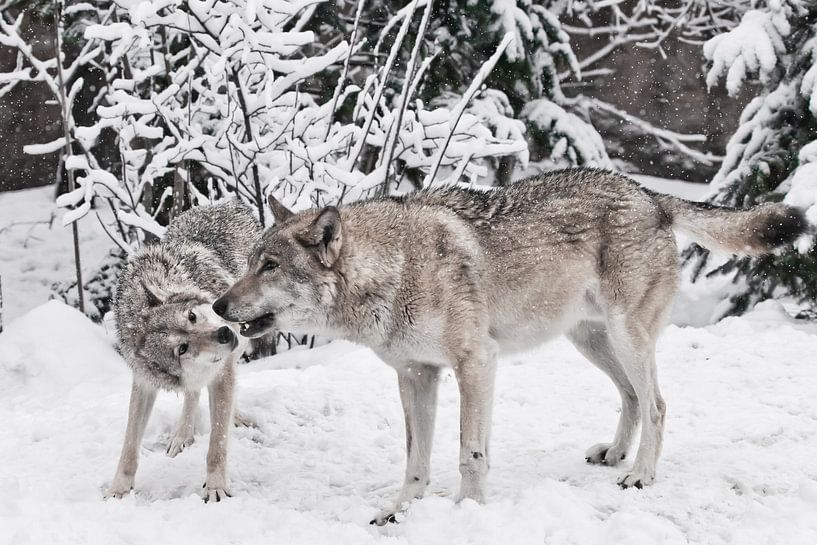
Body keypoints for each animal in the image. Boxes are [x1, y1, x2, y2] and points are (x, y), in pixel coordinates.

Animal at [107, 200, 262, 502]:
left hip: (243, 339)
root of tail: (225, 202)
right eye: (182, 348)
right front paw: (118, 489)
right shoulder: (143, 382)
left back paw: (234, 417)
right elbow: (129, 443)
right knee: (192, 392)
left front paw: (215, 486)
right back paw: (182, 435)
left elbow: (217, 444)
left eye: (191, 316)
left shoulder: (222, 371)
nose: (223, 334)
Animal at [214, 167, 808, 524]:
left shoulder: (476, 364)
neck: (395, 269)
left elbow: (469, 453)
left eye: (270, 266)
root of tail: (647, 193)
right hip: (591, 342)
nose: (218, 308)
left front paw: (468, 513)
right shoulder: (415, 375)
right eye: (250, 262)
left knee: (658, 403)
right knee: (633, 398)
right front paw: (401, 513)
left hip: (626, 338)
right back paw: (617, 454)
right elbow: (414, 459)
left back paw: (640, 474)